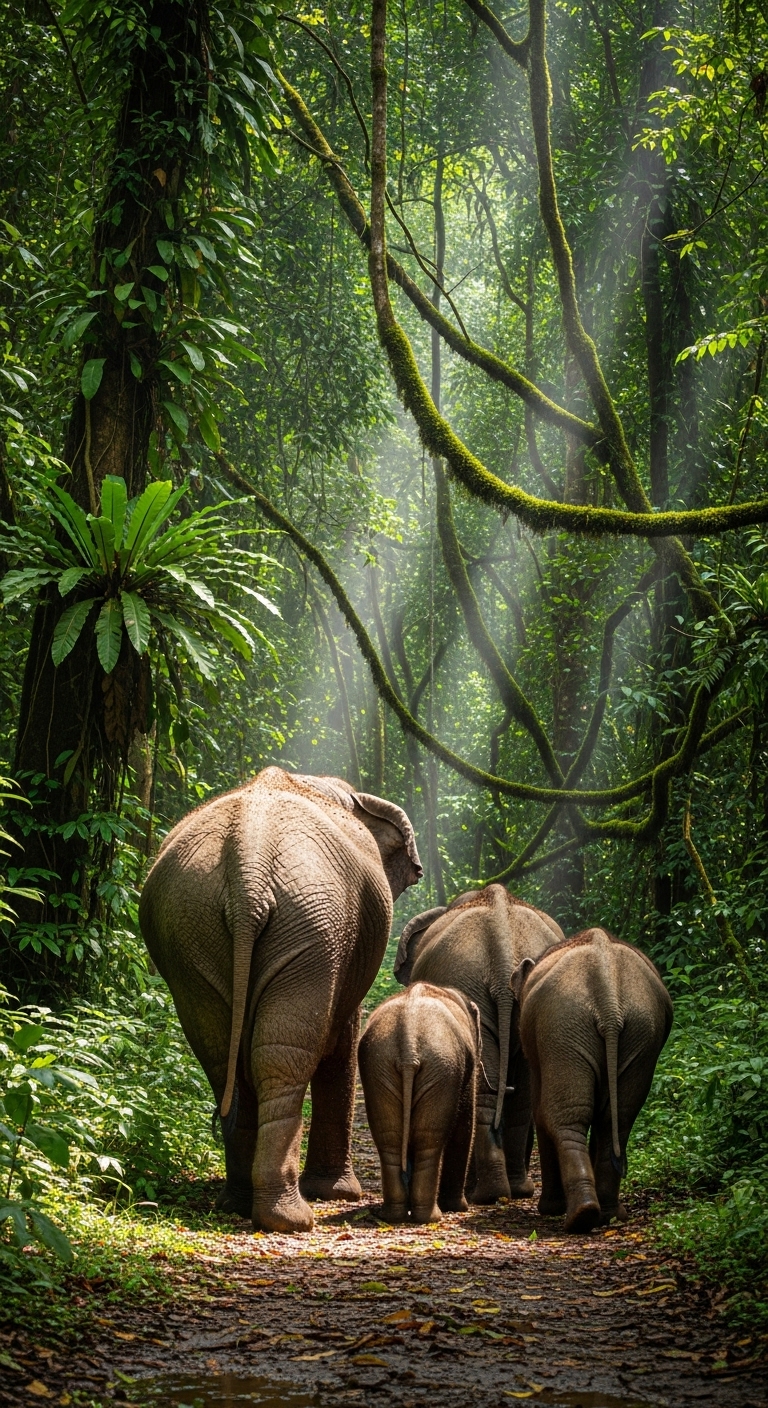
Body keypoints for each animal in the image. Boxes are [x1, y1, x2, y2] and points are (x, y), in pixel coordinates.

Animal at [139, 766, 422, 1233]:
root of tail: (247, 867)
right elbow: (341, 1038)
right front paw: (338, 1195)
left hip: (190, 926)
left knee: (223, 1056)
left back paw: (239, 1203)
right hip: (312, 926)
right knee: (282, 1054)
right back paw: (289, 1218)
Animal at [358, 981, 481, 1223]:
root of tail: (409, 1042)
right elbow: (464, 1125)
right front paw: (459, 1208)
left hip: (379, 1064)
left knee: (389, 1138)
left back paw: (393, 1215)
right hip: (442, 1067)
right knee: (429, 1141)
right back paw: (431, 1216)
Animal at [515, 926, 673, 1233]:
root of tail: (608, 997)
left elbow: (539, 1110)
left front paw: (550, 1210)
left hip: (566, 1028)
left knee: (564, 1117)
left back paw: (579, 1215)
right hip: (635, 1032)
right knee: (617, 1119)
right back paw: (604, 1214)